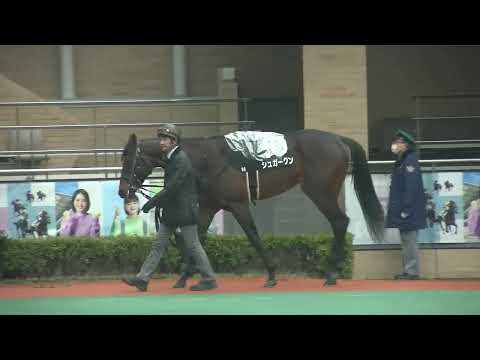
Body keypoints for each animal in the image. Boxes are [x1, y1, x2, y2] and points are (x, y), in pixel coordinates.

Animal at [118, 129, 384, 286]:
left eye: (131, 161)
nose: (122, 191)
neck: (206, 159)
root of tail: (339, 139)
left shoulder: (238, 205)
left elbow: (253, 236)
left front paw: (272, 274)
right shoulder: (208, 207)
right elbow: (198, 240)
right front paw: (185, 277)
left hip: (321, 192)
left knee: (339, 222)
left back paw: (332, 274)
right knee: (340, 223)